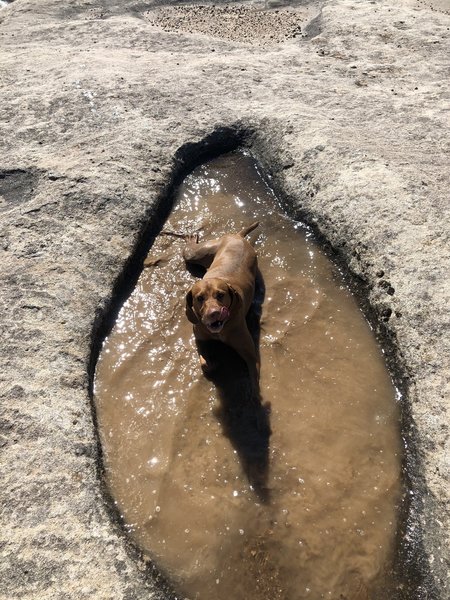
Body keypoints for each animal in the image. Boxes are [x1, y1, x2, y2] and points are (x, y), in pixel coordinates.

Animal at [184, 223, 260, 392]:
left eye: (220, 295)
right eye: (200, 298)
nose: (214, 313)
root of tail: (237, 236)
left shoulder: (249, 351)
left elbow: (254, 373)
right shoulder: (199, 337)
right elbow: (204, 362)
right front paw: (211, 362)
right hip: (196, 254)